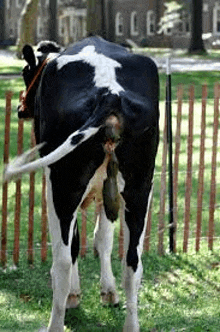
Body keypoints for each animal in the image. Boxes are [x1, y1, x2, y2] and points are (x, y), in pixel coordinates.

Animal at [4, 37, 159, 332]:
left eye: (25, 71)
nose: (19, 109)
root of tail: (110, 93)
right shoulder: (109, 192)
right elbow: (103, 239)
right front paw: (109, 292)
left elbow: (76, 243)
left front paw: (75, 297)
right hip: (140, 187)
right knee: (133, 263)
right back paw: (131, 323)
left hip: (61, 185)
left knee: (62, 261)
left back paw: (55, 322)